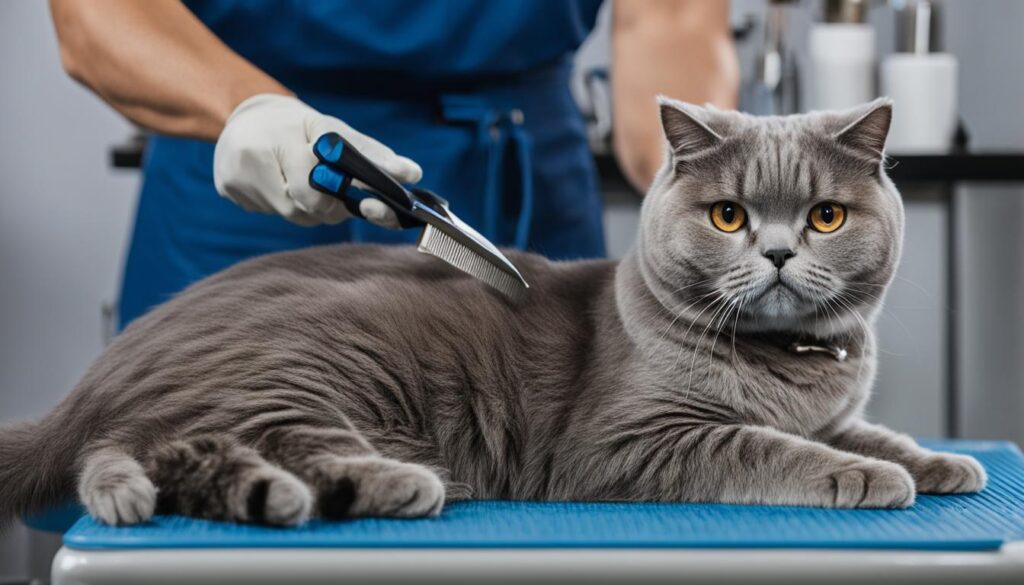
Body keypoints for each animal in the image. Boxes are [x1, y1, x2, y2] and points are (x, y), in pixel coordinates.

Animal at [2, 98, 991, 528]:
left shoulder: (835, 406)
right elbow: (769, 446)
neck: (786, 363)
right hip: (306, 364)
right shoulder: (634, 439)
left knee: (167, 455)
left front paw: (941, 461)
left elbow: (870, 430)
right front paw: (864, 477)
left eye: (825, 216)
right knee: (242, 438)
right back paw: (391, 483)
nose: (779, 252)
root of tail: (96, 379)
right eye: (728, 215)